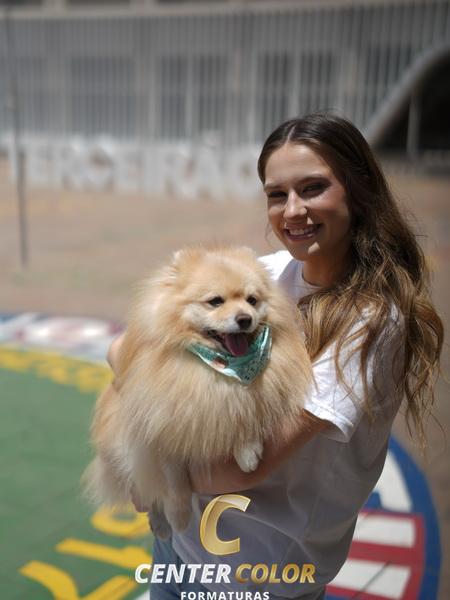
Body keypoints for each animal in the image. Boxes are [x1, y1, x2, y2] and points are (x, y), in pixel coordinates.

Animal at [82, 245, 312, 538]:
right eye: (215, 301)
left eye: (252, 300)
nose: (245, 318)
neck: (215, 369)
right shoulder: (162, 432)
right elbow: (175, 481)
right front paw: (179, 516)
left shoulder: (239, 399)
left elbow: (246, 411)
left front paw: (248, 450)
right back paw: (161, 525)